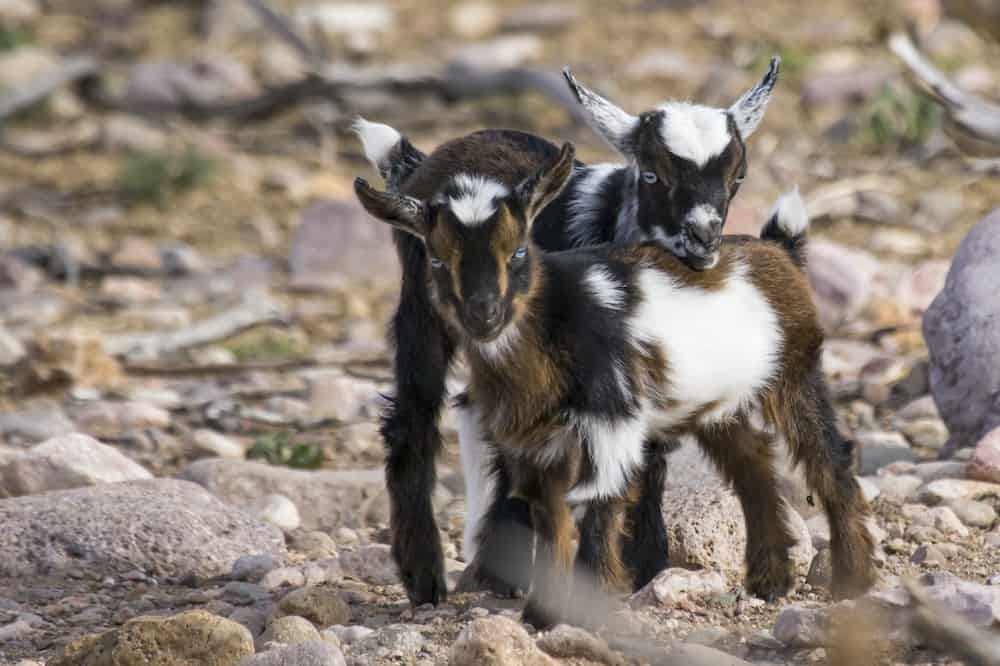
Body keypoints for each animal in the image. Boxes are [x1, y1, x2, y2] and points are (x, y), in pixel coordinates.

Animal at [353, 57, 780, 606]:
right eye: (651, 174)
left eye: (737, 177)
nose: (704, 238)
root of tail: (424, 161)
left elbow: (642, 457)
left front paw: (648, 568)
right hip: (428, 309)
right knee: (414, 417)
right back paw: (430, 576)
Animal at [354, 144, 877, 628]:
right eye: (438, 260)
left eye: (518, 250)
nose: (484, 314)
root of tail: (779, 250)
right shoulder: (536, 442)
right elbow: (551, 519)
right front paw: (541, 616)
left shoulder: (612, 419)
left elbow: (601, 503)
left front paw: (587, 606)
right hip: (715, 402)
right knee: (753, 462)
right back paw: (771, 580)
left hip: (795, 371)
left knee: (829, 459)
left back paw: (851, 581)